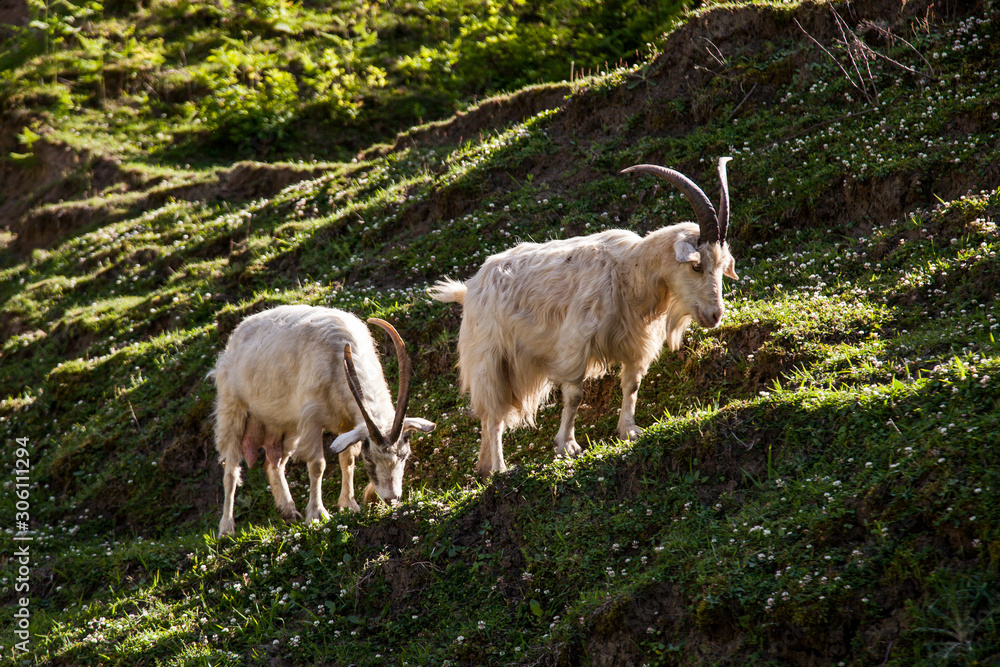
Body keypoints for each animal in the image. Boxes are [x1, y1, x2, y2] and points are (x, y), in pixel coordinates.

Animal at [211, 305, 436, 536]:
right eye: (370, 459)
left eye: (404, 456)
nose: (392, 499)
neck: (338, 358)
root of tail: (236, 336)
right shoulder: (311, 418)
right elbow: (318, 465)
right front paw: (317, 514)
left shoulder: (348, 423)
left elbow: (347, 459)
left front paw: (348, 504)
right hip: (232, 409)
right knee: (231, 469)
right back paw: (226, 528)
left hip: (285, 425)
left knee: (274, 463)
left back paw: (288, 511)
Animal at [430, 158, 737, 478]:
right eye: (696, 266)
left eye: (721, 266)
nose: (715, 315)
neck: (629, 271)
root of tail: (469, 288)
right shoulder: (577, 341)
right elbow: (574, 395)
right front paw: (567, 445)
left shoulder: (637, 342)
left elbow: (632, 385)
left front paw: (629, 431)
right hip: (489, 359)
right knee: (493, 414)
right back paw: (500, 467)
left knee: (489, 416)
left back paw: (484, 466)